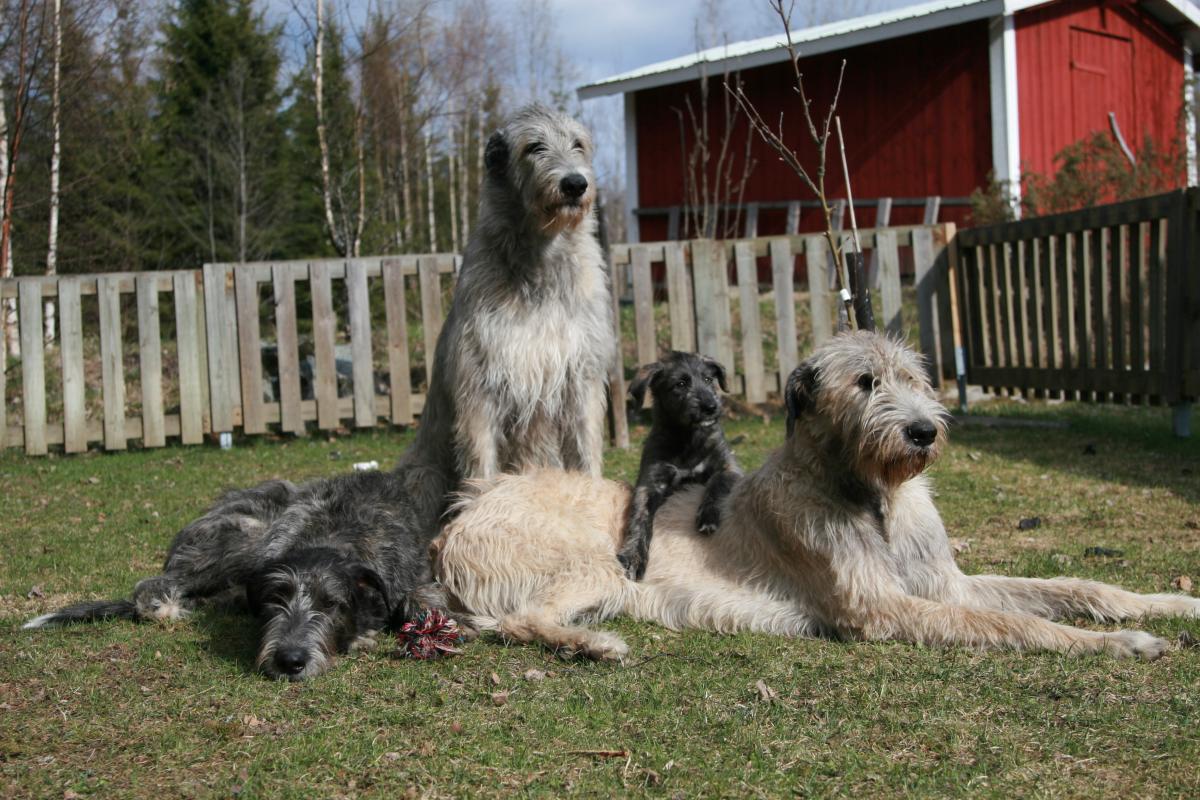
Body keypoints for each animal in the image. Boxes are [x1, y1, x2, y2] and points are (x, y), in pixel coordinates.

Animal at [618, 352, 740, 580]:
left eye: (708, 379)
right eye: (680, 384)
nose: (711, 407)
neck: (687, 439)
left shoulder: (728, 466)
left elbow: (717, 483)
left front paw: (708, 515)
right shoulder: (650, 483)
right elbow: (639, 518)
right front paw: (633, 556)